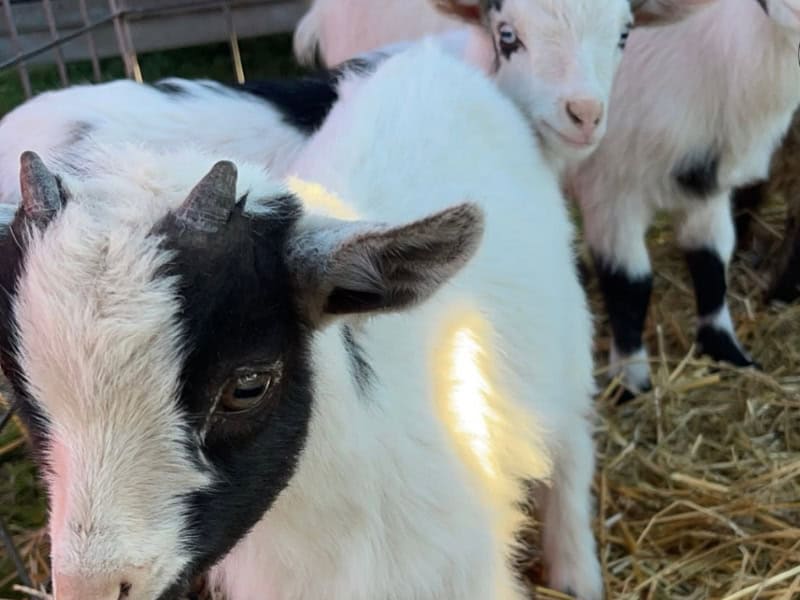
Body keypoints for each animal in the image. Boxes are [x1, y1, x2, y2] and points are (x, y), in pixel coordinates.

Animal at [0, 43, 600, 600]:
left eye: (247, 385)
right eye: (21, 389)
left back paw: (577, 569)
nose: (94, 586)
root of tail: (426, 54)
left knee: (573, 438)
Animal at [568, 0, 800, 398]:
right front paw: (630, 384)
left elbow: (711, 264)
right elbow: (629, 284)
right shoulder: (611, 193)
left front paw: (727, 352)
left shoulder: (705, 193)